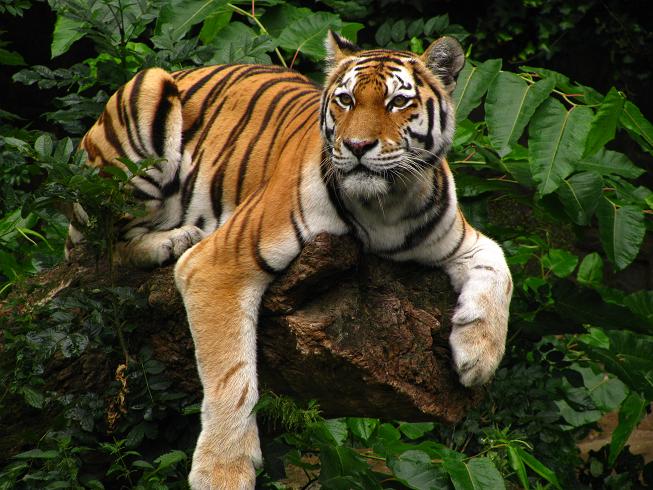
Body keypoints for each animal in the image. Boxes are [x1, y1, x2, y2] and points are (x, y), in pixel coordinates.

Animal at [70, 32, 513, 489]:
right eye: (346, 100)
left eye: (397, 102)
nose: (357, 146)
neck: (385, 205)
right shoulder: (219, 263)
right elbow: (231, 375)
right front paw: (223, 472)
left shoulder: (460, 238)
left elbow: (499, 267)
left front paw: (478, 357)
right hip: (142, 112)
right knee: (102, 247)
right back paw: (171, 240)